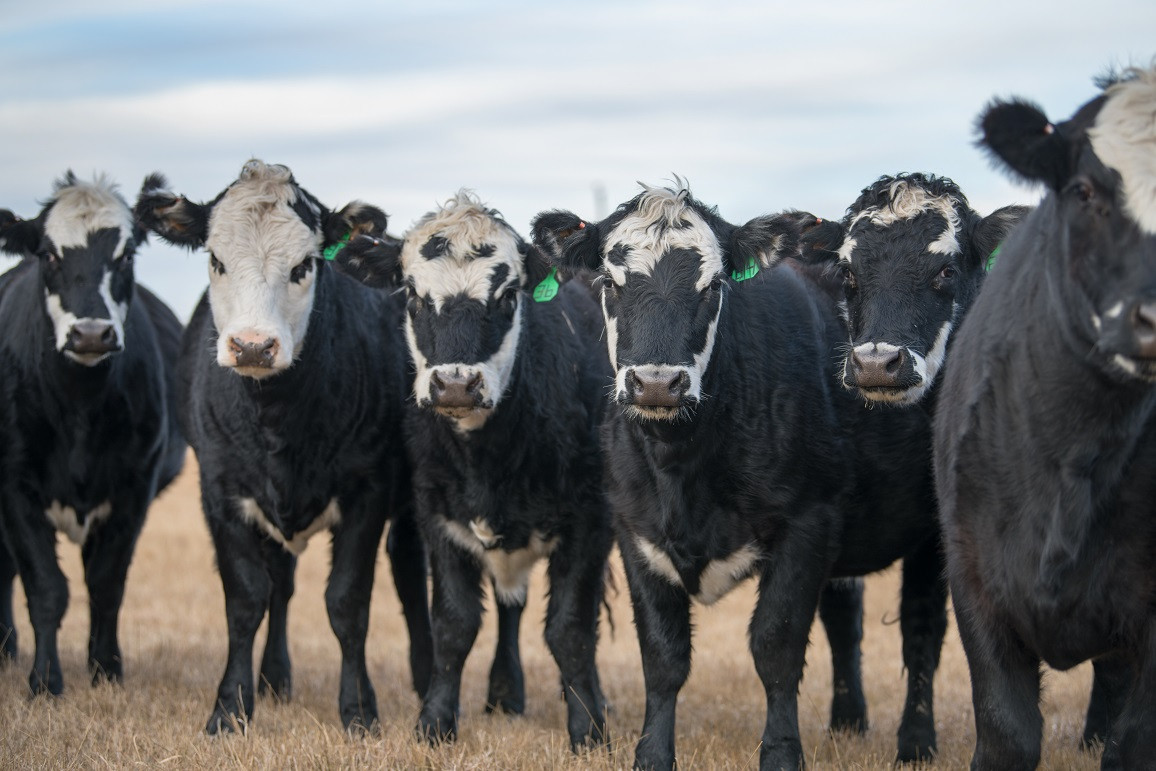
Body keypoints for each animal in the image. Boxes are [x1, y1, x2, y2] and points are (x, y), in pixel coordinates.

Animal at [0, 173, 185, 695]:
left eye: (125, 256)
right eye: (48, 254)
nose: (89, 334)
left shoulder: (132, 492)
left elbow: (106, 586)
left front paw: (106, 670)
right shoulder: (15, 489)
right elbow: (45, 587)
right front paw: (45, 681)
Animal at [134, 160, 432, 734]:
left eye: (304, 266)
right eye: (215, 260)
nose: (253, 345)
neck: (277, 417)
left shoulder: (368, 491)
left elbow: (347, 602)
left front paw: (359, 710)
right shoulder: (220, 491)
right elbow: (247, 598)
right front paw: (231, 708)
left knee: (409, 575)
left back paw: (427, 678)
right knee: (281, 583)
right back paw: (274, 680)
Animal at [334, 190, 613, 751]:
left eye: (507, 298)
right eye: (413, 296)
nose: (456, 384)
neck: (489, 461)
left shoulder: (589, 523)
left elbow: (571, 630)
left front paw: (588, 729)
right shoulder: (439, 518)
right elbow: (454, 625)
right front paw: (435, 722)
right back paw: (504, 692)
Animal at [533, 181, 968, 769]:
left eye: (714, 286)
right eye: (609, 282)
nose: (656, 382)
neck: (683, 468)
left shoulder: (808, 523)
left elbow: (776, 645)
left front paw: (781, 753)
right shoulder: (634, 530)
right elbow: (663, 656)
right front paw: (652, 755)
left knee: (921, 629)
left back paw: (916, 744)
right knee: (845, 617)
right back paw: (848, 722)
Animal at [796, 173, 1029, 759]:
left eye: (946, 270)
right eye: (848, 273)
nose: (876, 363)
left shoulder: (935, 533)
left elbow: (923, 627)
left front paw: (917, 741)